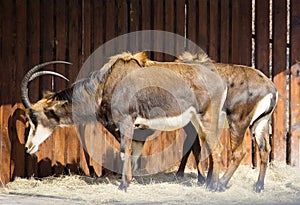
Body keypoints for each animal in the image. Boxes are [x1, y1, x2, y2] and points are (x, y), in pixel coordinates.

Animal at [21, 52, 227, 191]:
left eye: (34, 117)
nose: (28, 147)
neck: (106, 84)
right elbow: (133, 153)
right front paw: (129, 181)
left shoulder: (126, 122)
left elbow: (124, 153)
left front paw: (123, 186)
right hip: (196, 121)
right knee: (205, 147)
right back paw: (207, 182)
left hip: (206, 118)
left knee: (216, 149)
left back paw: (214, 186)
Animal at [175, 52, 278, 192]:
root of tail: (271, 89)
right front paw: (206, 179)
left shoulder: (194, 125)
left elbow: (194, 147)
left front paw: (199, 179)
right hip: (261, 123)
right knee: (265, 149)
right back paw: (258, 186)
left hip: (237, 122)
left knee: (239, 152)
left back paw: (221, 184)